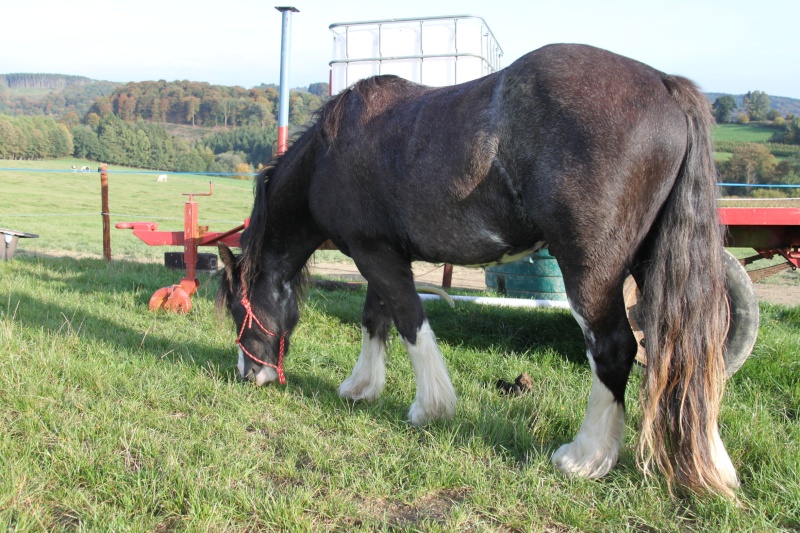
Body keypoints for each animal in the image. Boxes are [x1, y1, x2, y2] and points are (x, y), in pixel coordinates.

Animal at [217, 43, 736, 496]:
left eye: (238, 308)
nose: (249, 375)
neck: (333, 150)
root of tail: (665, 85)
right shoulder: (381, 254)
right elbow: (375, 319)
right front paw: (361, 387)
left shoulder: (375, 256)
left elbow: (410, 322)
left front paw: (430, 408)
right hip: (652, 265)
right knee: (688, 349)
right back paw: (712, 460)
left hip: (592, 271)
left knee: (614, 349)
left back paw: (586, 456)